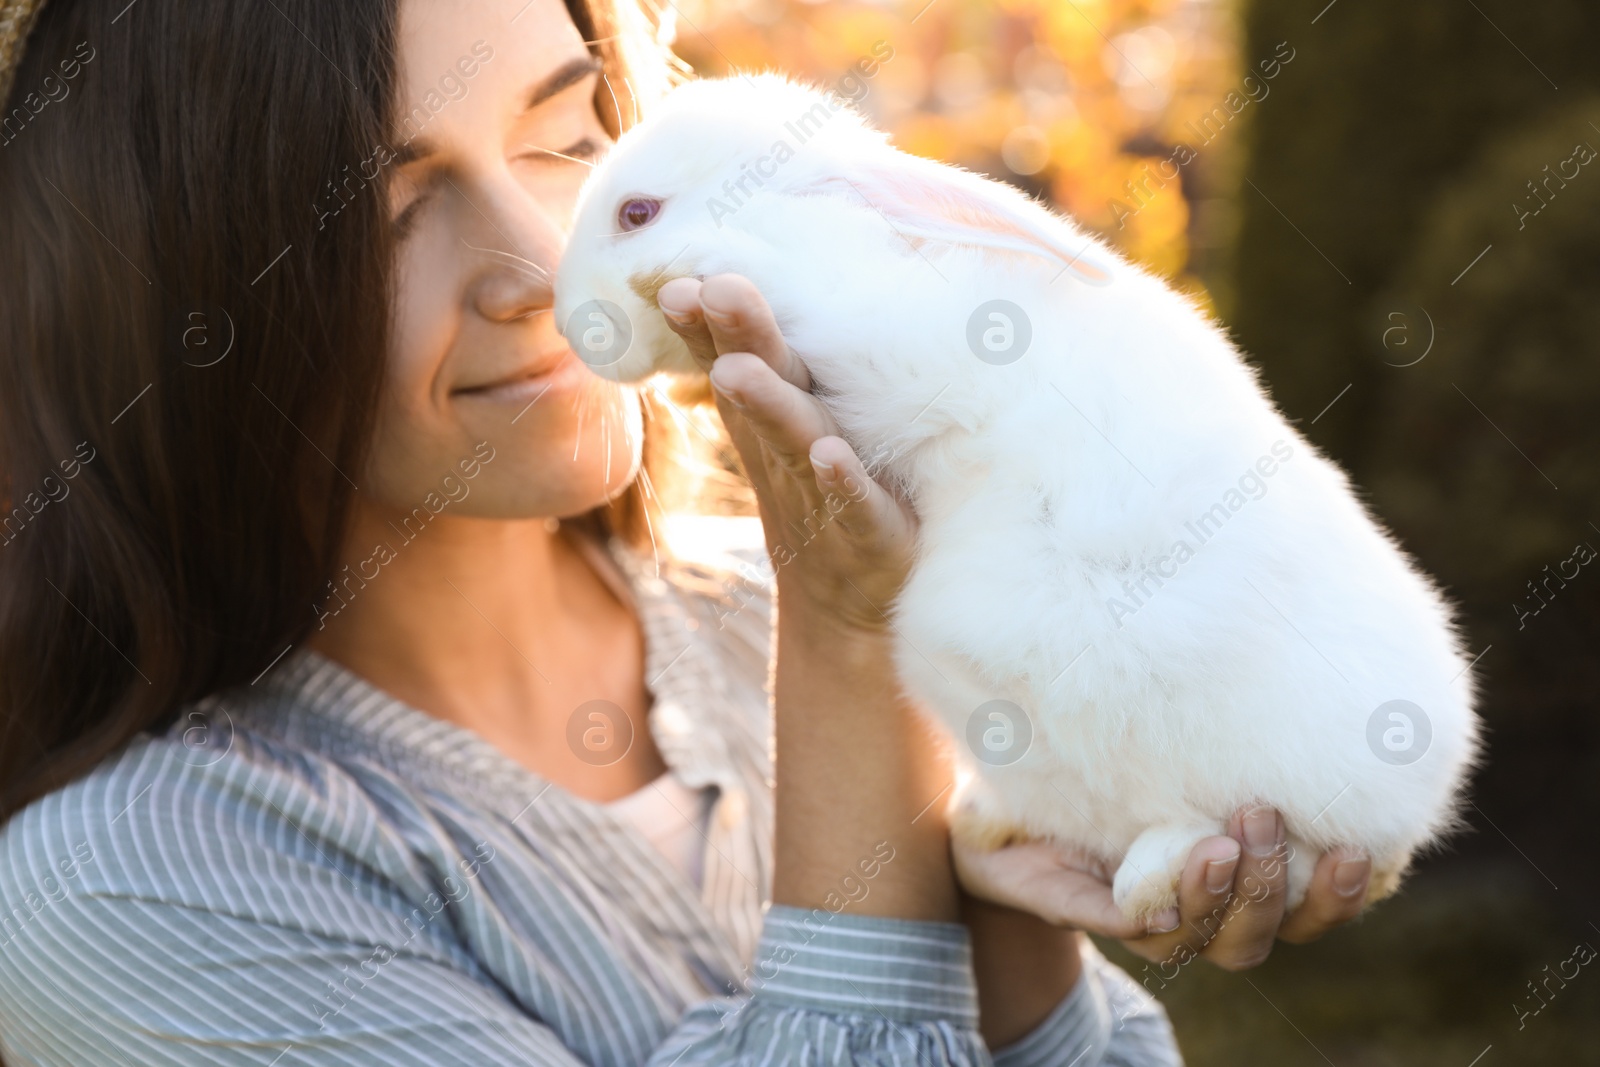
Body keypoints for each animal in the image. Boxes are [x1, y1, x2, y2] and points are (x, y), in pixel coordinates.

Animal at [550, 75, 1472, 927]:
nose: (567, 325)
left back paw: (1155, 877)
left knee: (1262, 841)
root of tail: (1416, 811)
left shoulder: (905, 347)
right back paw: (999, 828)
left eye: (637, 212)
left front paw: (689, 265)